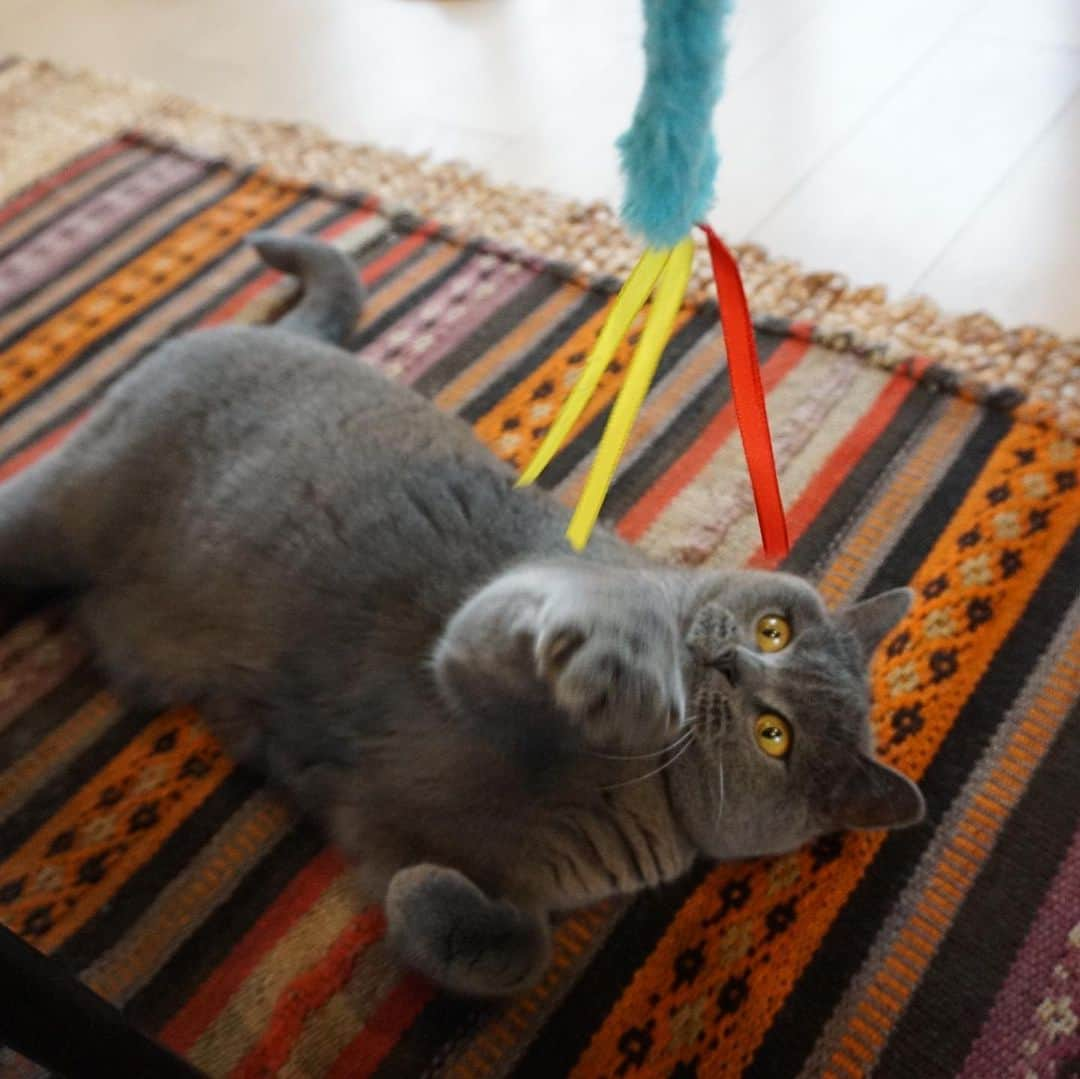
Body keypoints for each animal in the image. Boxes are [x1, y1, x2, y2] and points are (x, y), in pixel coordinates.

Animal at [2, 234, 928, 993]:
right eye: (775, 627)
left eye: (775, 735)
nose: (732, 662)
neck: (635, 788)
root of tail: (285, 334)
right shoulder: (500, 617)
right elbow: (538, 628)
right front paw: (622, 674)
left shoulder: (432, 847)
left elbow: (519, 950)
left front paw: (429, 910)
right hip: (63, 505)